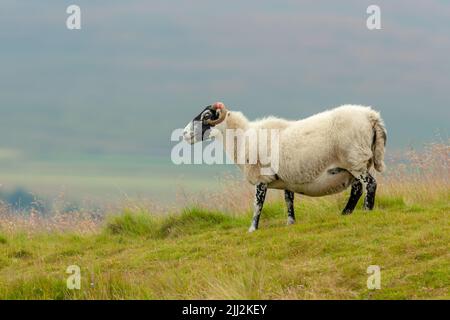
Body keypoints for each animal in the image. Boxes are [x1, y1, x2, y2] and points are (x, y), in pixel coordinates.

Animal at [183, 102, 386, 232]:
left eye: (206, 116)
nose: (184, 134)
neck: (242, 138)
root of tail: (371, 116)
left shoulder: (260, 177)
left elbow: (257, 205)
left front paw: (252, 228)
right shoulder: (287, 180)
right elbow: (289, 201)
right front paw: (290, 223)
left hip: (356, 160)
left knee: (370, 185)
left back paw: (366, 211)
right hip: (353, 166)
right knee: (357, 189)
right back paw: (346, 213)